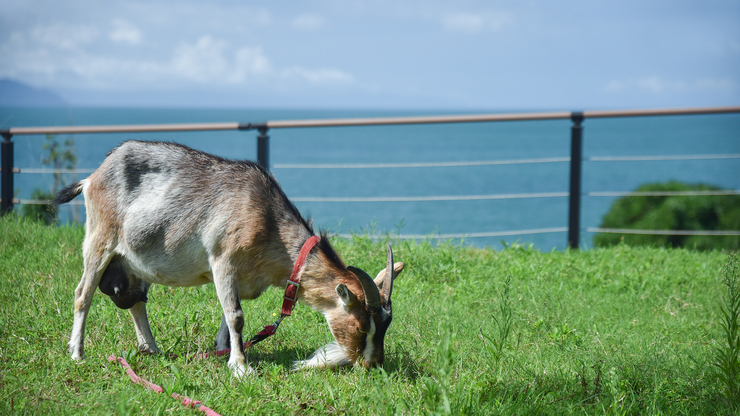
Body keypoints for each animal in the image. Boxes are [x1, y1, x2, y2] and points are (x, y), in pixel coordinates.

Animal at [56, 141, 404, 376]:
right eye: (362, 326)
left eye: (386, 326)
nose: (373, 365)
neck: (267, 219)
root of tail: (92, 177)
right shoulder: (222, 258)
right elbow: (236, 316)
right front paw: (240, 367)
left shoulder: (237, 277)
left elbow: (228, 314)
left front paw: (224, 353)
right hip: (100, 238)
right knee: (82, 293)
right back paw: (77, 353)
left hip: (133, 261)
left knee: (136, 301)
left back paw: (150, 348)